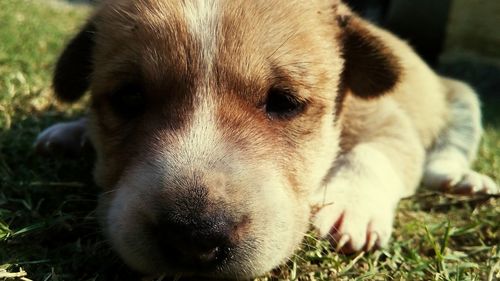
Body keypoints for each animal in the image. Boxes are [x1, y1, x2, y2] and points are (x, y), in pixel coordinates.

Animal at [36, 0, 500, 278]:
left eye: (284, 102)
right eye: (129, 97)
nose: (194, 239)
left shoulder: (390, 123)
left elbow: (374, 154)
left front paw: (349, 208)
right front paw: (73, 131)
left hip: (462, 98)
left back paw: (462, 179)